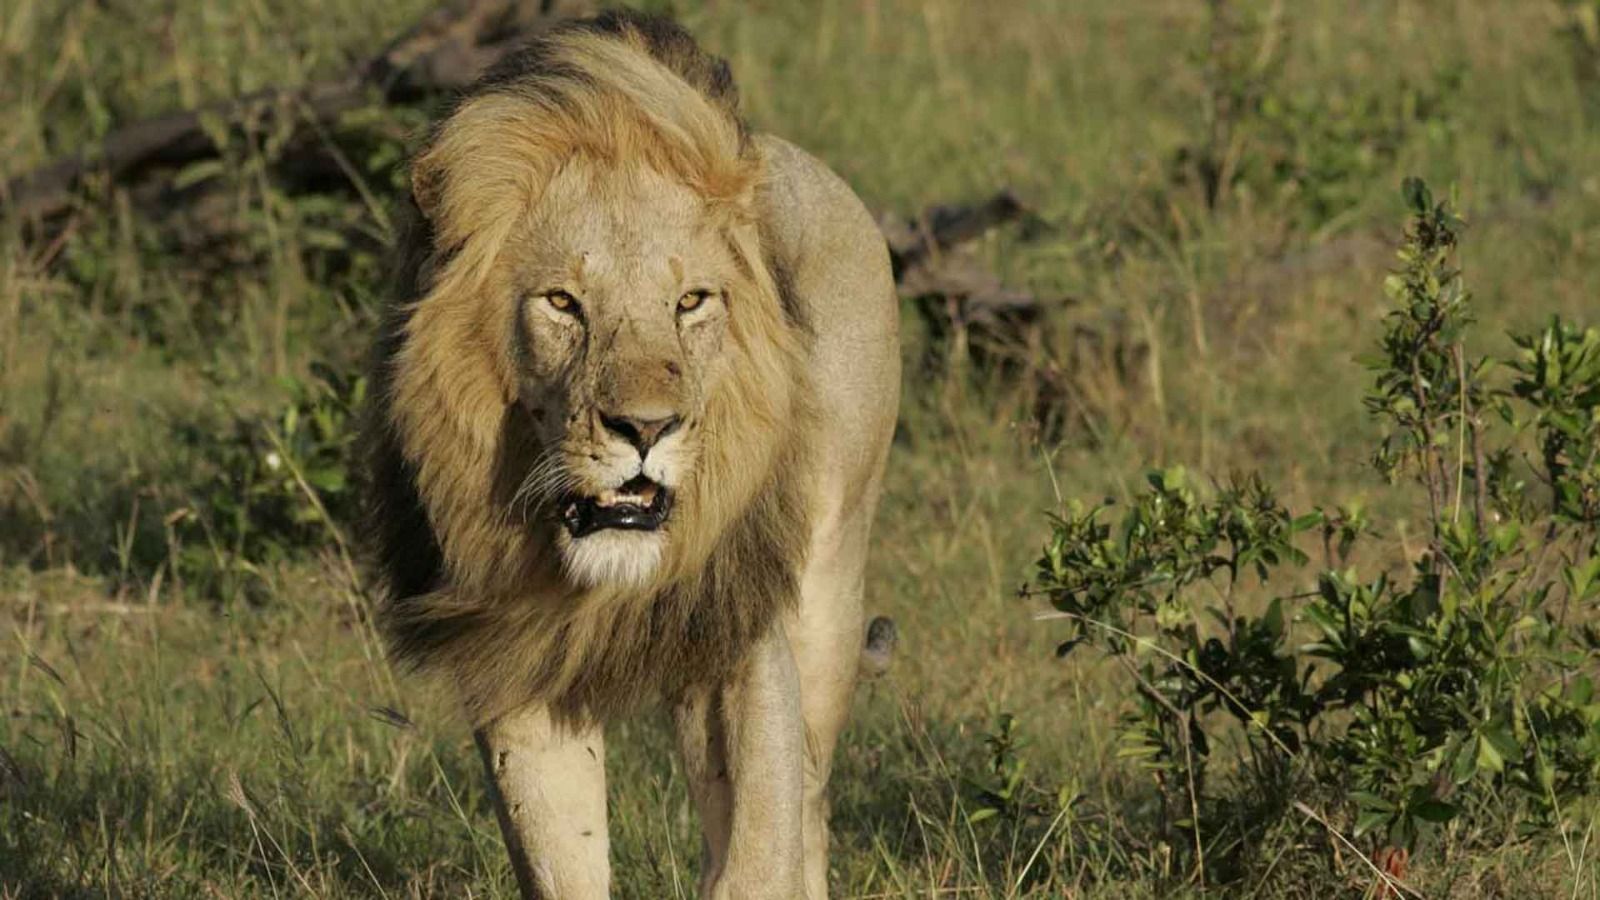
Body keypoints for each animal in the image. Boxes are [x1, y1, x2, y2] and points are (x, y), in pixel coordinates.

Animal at [361, 10, 900, 899]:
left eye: (690, 302)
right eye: (562, 303)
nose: (645, 429)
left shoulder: (740, 627)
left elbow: (762, 849)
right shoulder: (519, 650)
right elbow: (561, 856)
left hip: (830, 584)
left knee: (810, 802)